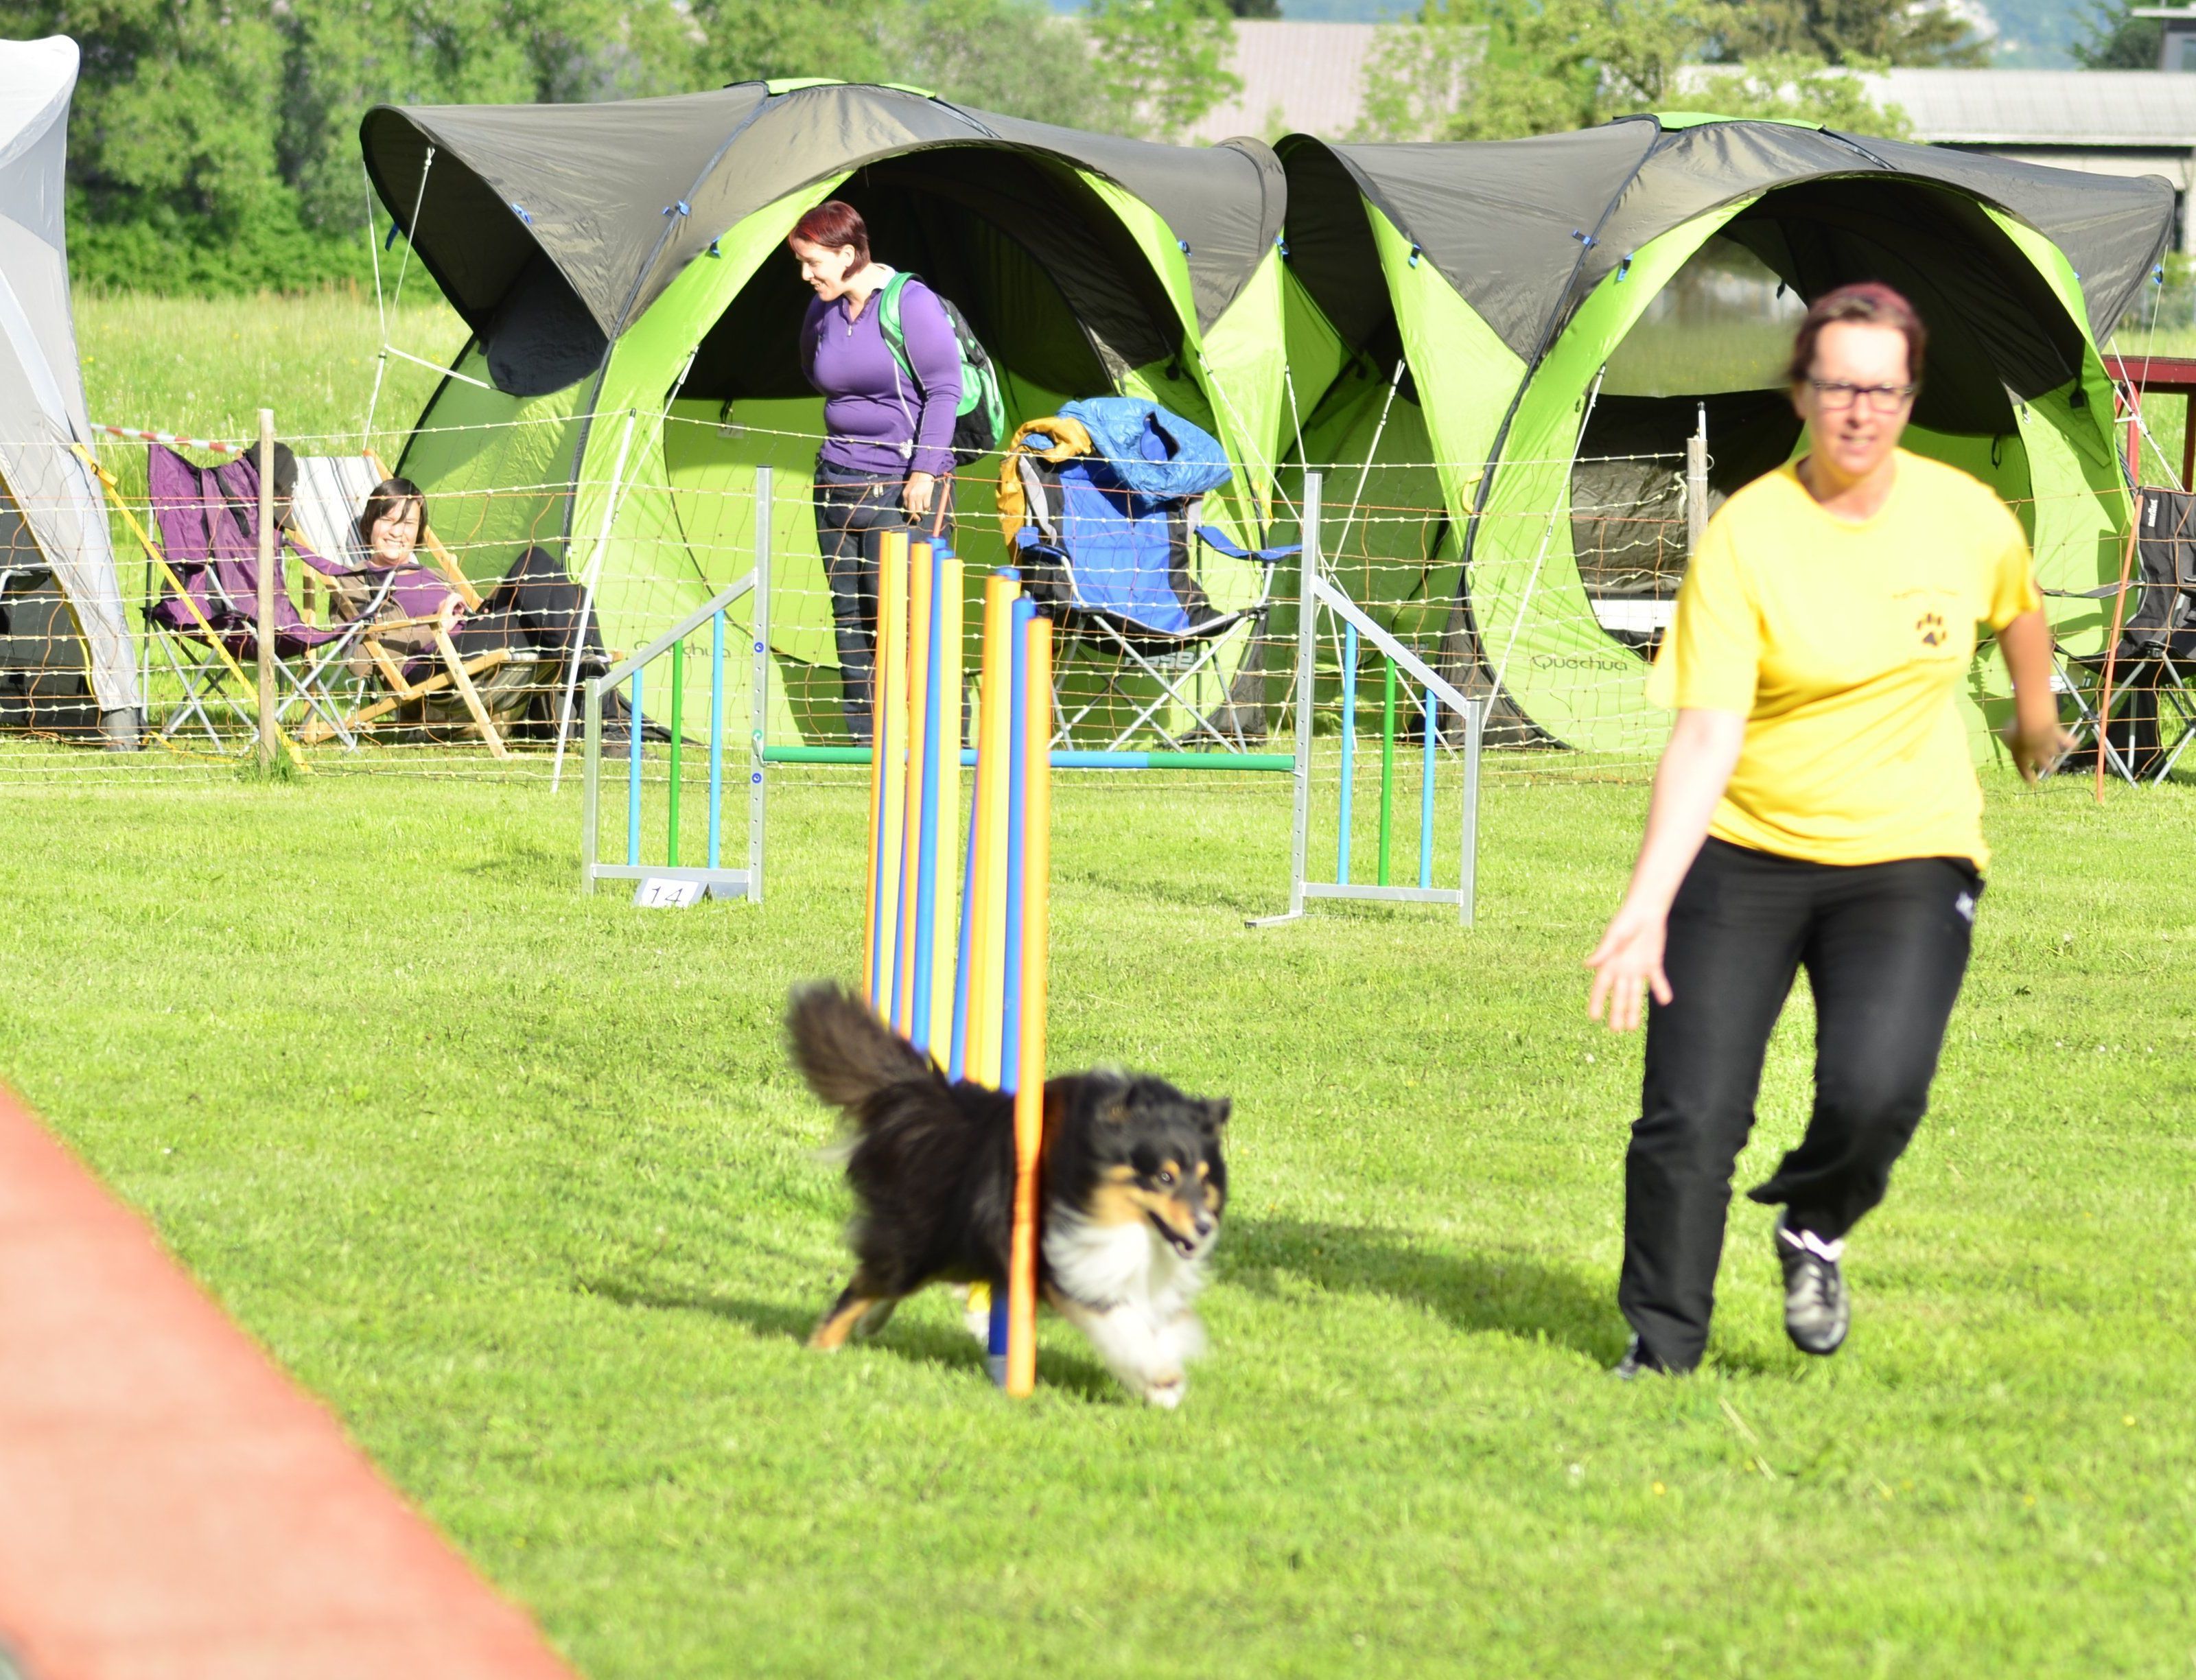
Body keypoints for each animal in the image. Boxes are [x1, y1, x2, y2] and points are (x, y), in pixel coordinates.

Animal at [786, 975, 1238, 1405]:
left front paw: (1160, 1384)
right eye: (1164, 1177)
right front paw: (1160, 1375)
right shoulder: (1062, 1252)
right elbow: (1116, 1318)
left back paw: (869, 1323)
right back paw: (820, 1347)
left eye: (1204, 1179)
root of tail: (930, 1102)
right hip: (924, 1243)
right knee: (864, 1284)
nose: (1204, 1228)